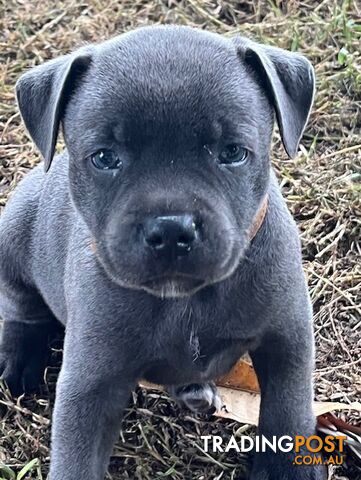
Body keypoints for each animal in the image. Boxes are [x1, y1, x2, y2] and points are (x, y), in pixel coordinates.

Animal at [0, 25, 324, 480]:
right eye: (105, 158)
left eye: (233, 152)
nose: (171, 229)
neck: (186, 299)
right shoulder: (90, 383)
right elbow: (76, 458)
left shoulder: (287, 339)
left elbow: (288, 411)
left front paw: (288, 470)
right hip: (12, 234)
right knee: (20, 307)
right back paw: (19, 359)